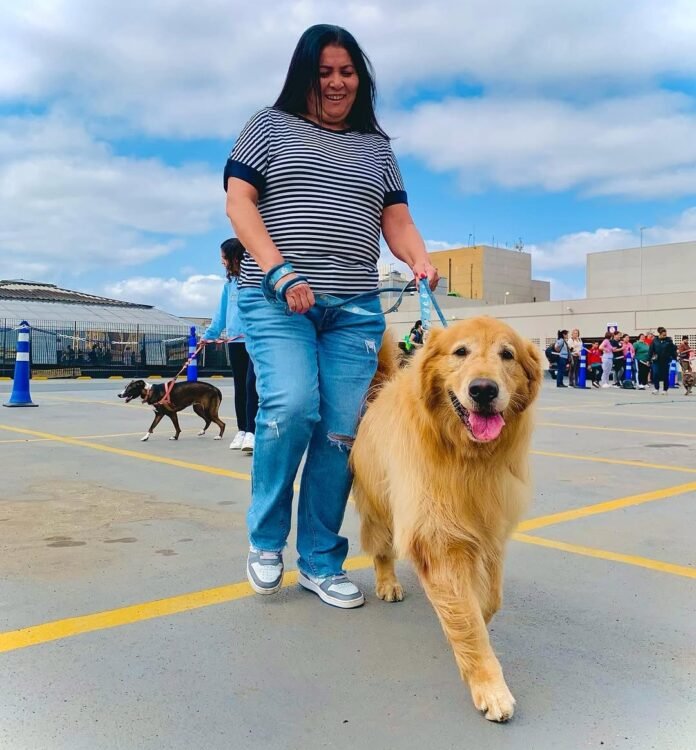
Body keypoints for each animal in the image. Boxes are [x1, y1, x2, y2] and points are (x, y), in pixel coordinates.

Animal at [350, 318, 540, 724]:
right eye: (460, 351)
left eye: (507, 354)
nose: (483, 389)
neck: (467, 456)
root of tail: (381, 389)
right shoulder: (438, 536)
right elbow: (468, 622)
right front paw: (491, 688)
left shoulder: (490, 530)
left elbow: (487, 601)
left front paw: (474, 615)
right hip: (378, 506)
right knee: (381, 548)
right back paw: (388, 583)